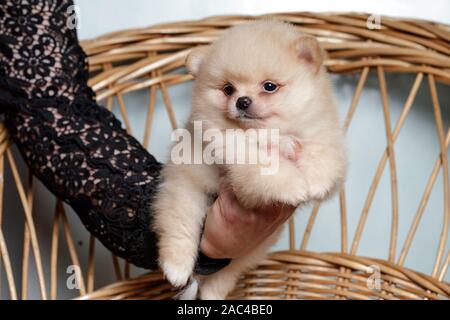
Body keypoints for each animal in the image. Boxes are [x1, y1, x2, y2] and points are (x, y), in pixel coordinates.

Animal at [153, 20, 346, 300]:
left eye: (269, 86)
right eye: (228, 89)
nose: (242, 101)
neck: (268, 132)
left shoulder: (317, 131)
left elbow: (324, 154)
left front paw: (317, 182)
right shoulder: (237, 152)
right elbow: (268, 167)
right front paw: (295, 186)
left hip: (253, 247)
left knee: (228, 271)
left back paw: (211, 293)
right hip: (186, 192)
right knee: (178, 229)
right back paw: (176, 269)